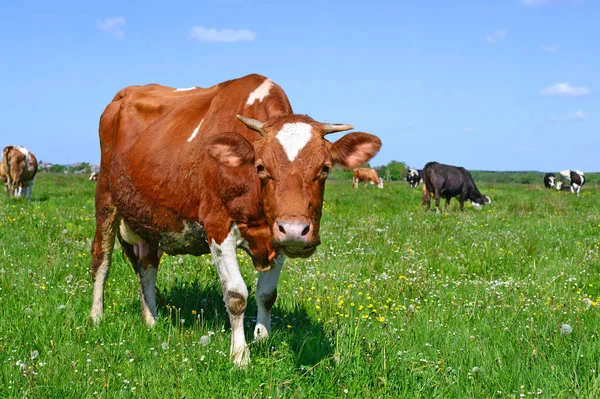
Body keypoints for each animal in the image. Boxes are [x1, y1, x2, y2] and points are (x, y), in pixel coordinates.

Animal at [89, 73, 380, 368]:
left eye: (325, 169)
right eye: (261, 167)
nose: (296, 230)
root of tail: (123, 95)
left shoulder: (276, 235)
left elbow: (267, 295)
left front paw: (262, 338)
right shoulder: (218, 226)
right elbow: (236, 295)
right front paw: (240, 354)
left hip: (149, 217)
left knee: (147, 267)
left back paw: (151, 321)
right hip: (105, 196)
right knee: (102, 258)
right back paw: (96, 317)